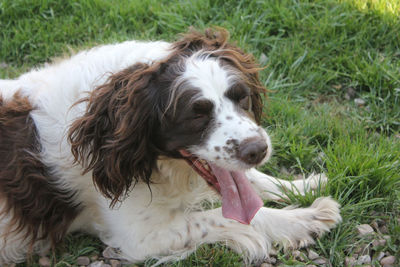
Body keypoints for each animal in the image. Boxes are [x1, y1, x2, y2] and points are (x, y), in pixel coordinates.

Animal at [0, 28, 340, 264]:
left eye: (240, 96)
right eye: (196, 115)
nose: (258, 150)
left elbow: (254, 183)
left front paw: (306, 185)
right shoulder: (139, 235)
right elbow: (233, 216)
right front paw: (304, 219)